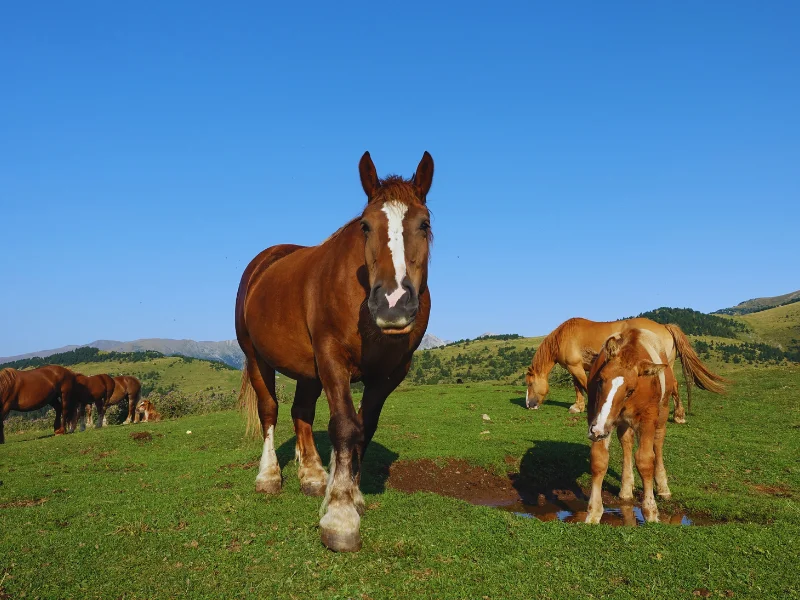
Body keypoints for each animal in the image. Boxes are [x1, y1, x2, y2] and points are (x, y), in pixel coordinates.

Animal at [236, 151, 434, 552]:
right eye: (365, 226)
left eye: (424, 224)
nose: (393, 304)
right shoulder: (331, 356)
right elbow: (344, 425)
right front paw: (340, 517)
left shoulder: (391, 373)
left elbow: (365, 427)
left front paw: (350, 494)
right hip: (256, 358)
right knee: (270, 410)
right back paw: (269, 476)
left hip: (307, 368)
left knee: (301, 411)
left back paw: (312, 475)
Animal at [523, 317, 726, 422]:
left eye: (530, 384)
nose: (528, 405)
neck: (565, 336)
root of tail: (665, 327)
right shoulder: (576, 367)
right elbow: (578, 387)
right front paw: (578, 406)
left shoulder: (576, 367)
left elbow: (584, 386)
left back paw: (677, 416)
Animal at [584, 329, 684, 523]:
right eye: (600, 380)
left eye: (630, 390)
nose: (597, 430)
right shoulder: (598, 418)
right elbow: (599, 459)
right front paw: (593, 514)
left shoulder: (647, 419)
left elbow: (645, 460)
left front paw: (651, 511)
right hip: (621, 423)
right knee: (626, 441)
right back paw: (626, 489)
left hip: (661, 414)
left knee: (658, 444)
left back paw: (663, 487)